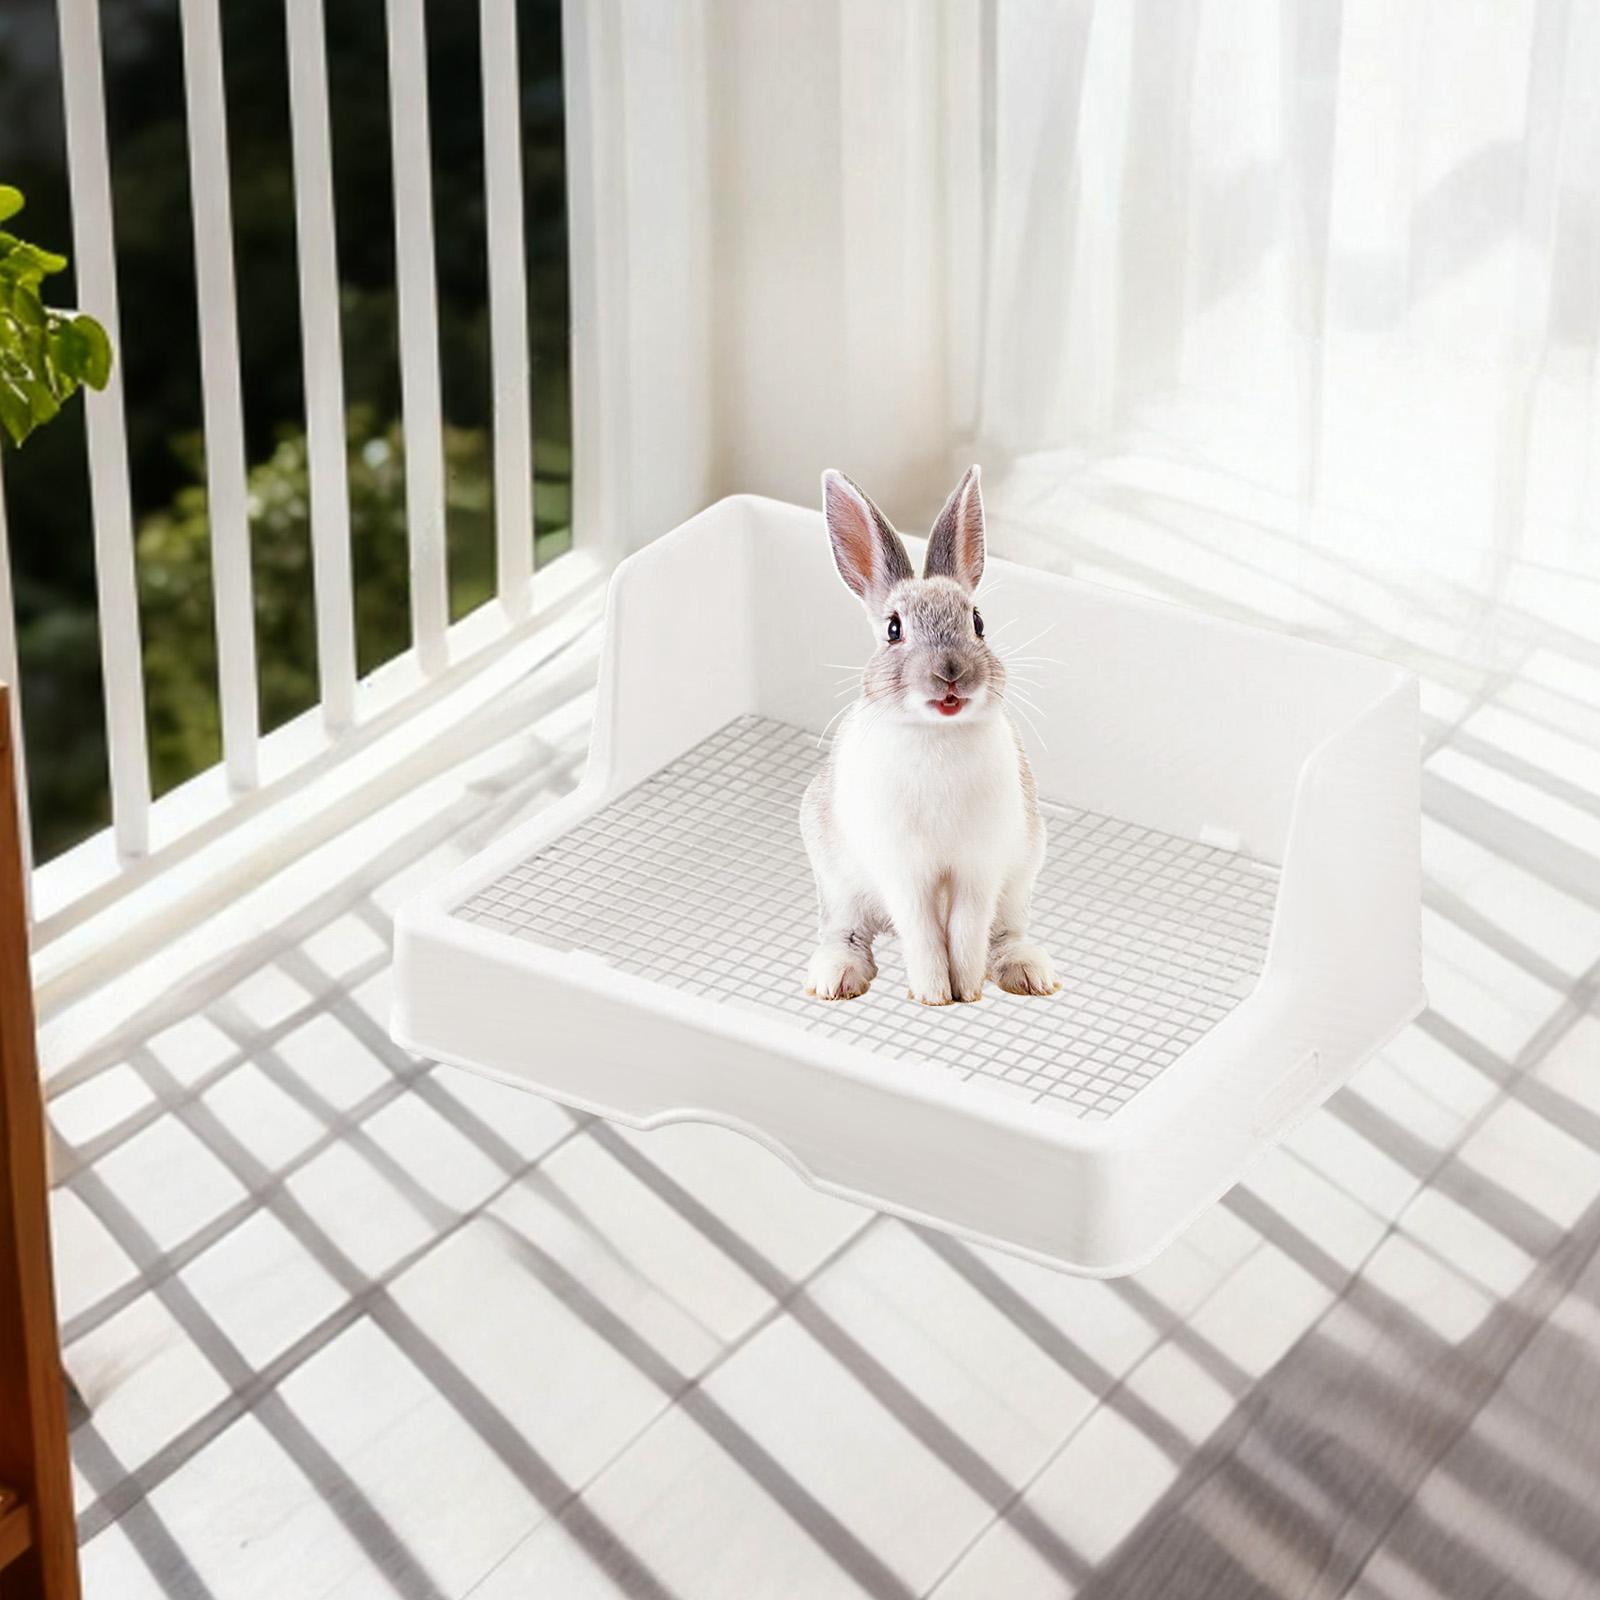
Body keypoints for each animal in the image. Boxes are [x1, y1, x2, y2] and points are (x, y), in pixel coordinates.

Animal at [801, 465, 1059, 1007]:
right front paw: (934, 995)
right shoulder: (904, 871)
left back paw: (1028, 973)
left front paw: (966, 993)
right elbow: (923, 933)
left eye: (978, 622)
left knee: (1004, 934)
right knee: (846, 933)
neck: (939, 734)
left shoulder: (979, 869)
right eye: (893, 629)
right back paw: (835, 978)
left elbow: (965, 934)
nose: (950, 673)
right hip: (838, 884)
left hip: (1020, 878)